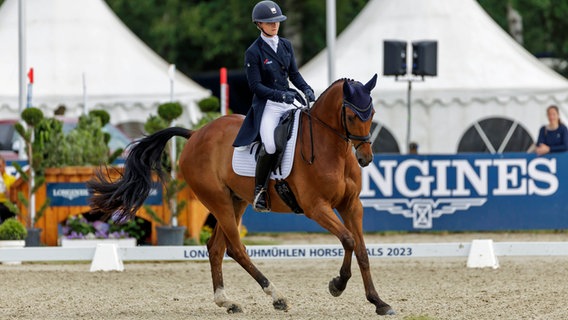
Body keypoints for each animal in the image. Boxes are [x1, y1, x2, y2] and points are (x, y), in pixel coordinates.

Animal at [87, 74, 394, 316]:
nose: (366, 158)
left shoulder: (351, 205)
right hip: (219, 201)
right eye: (352, 116)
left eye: (372, 114)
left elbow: (362, 249)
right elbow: (348, 240)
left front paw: (378, 302)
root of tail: (196, 133)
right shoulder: (316, 207)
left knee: (216, 247)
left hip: (235, 202)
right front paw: (337, 285)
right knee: (235, 248)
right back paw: (276, 297)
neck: (332, 149)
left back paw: (226, 301)